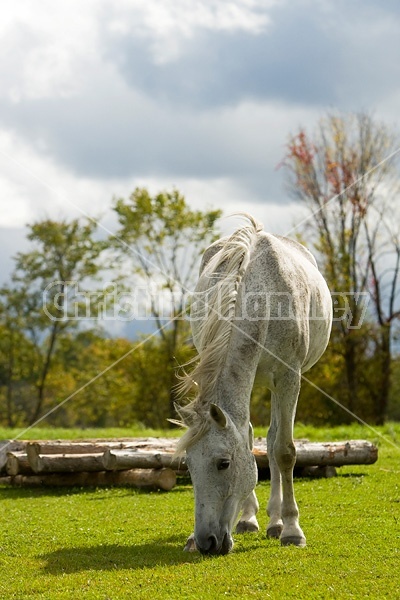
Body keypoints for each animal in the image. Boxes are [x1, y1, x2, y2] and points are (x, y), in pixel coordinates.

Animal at [177, 213, 332, 556]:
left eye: (223, 464)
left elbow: (284, 450)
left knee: (274, 442)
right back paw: (251, 519)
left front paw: (292, 530)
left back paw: (276, 522)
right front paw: (246, 519)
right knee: (253, 436)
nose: (206, 542)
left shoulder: (288, 377)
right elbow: (248, 441)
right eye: (189, 466)